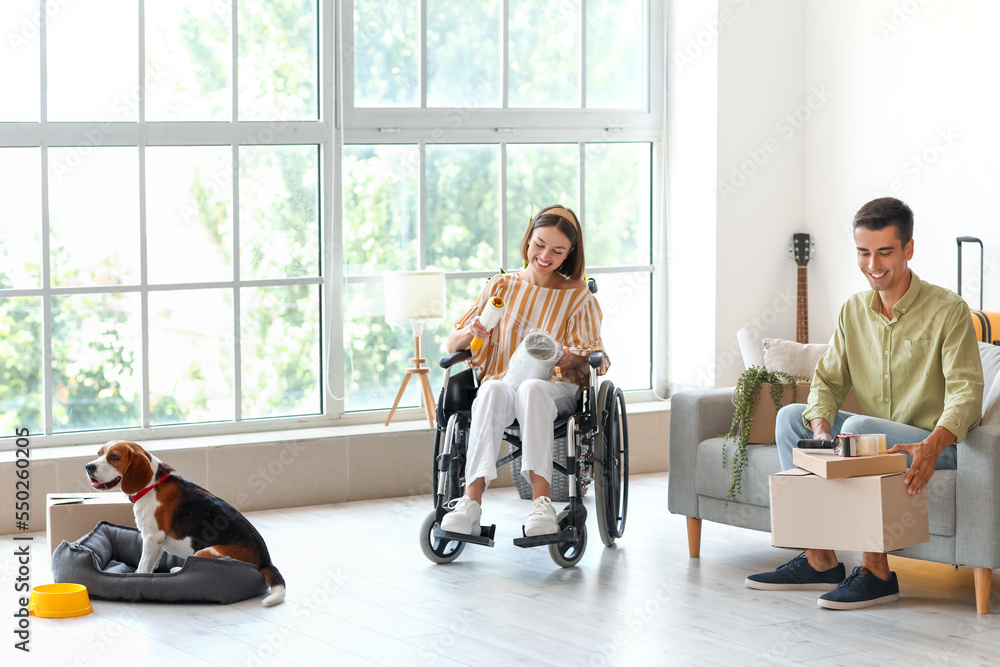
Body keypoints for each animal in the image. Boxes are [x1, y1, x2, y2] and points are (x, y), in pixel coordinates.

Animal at [84, 440, 288, 608]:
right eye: (99, 453)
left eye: (114, 457)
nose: (88, 466)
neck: (152, 486)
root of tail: (265, 560)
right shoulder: (157, 542)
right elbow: (153, 562)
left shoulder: (152, 537)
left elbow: (143, 565)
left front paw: (136, 579)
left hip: (205, 552)